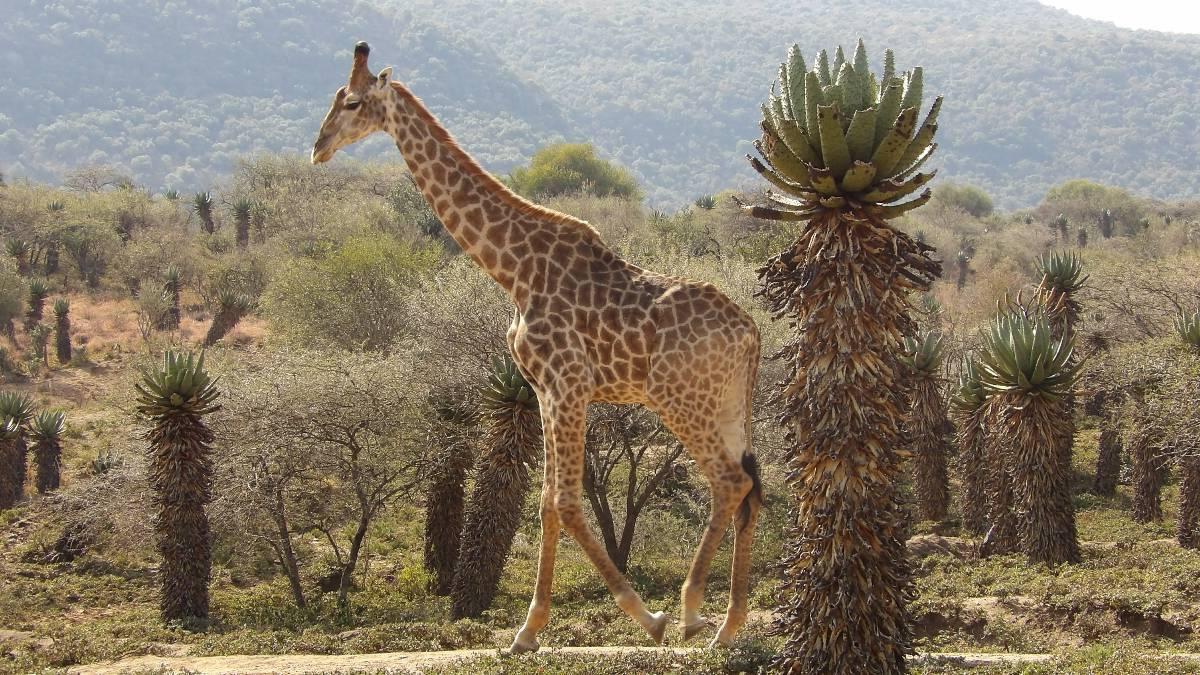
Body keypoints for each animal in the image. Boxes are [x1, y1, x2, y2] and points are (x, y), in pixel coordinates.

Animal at [314, 43, 763, 653]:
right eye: (336, 97)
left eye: (353, 103)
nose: (318, 147)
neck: (515, 270)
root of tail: (751, 334)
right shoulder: (545, 389)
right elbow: (549, 502)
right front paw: (526, 632)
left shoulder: (567, 382)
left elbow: (566, 501)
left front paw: (647, 618)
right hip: (727, 403)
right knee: (750, 487)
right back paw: (728, 625)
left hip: (679, 398)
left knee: (729, 481)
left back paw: (693, 611)